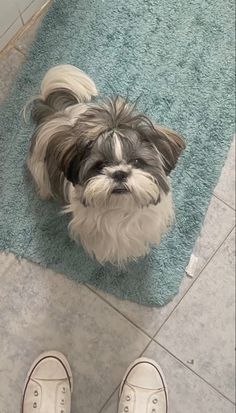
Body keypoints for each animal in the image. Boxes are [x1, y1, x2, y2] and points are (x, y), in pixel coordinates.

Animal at [25, 64, 185, 264]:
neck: (121, 210)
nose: (119, 173)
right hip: (39, 167)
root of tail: (56, 113)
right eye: (100, 166)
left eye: (137, 161)